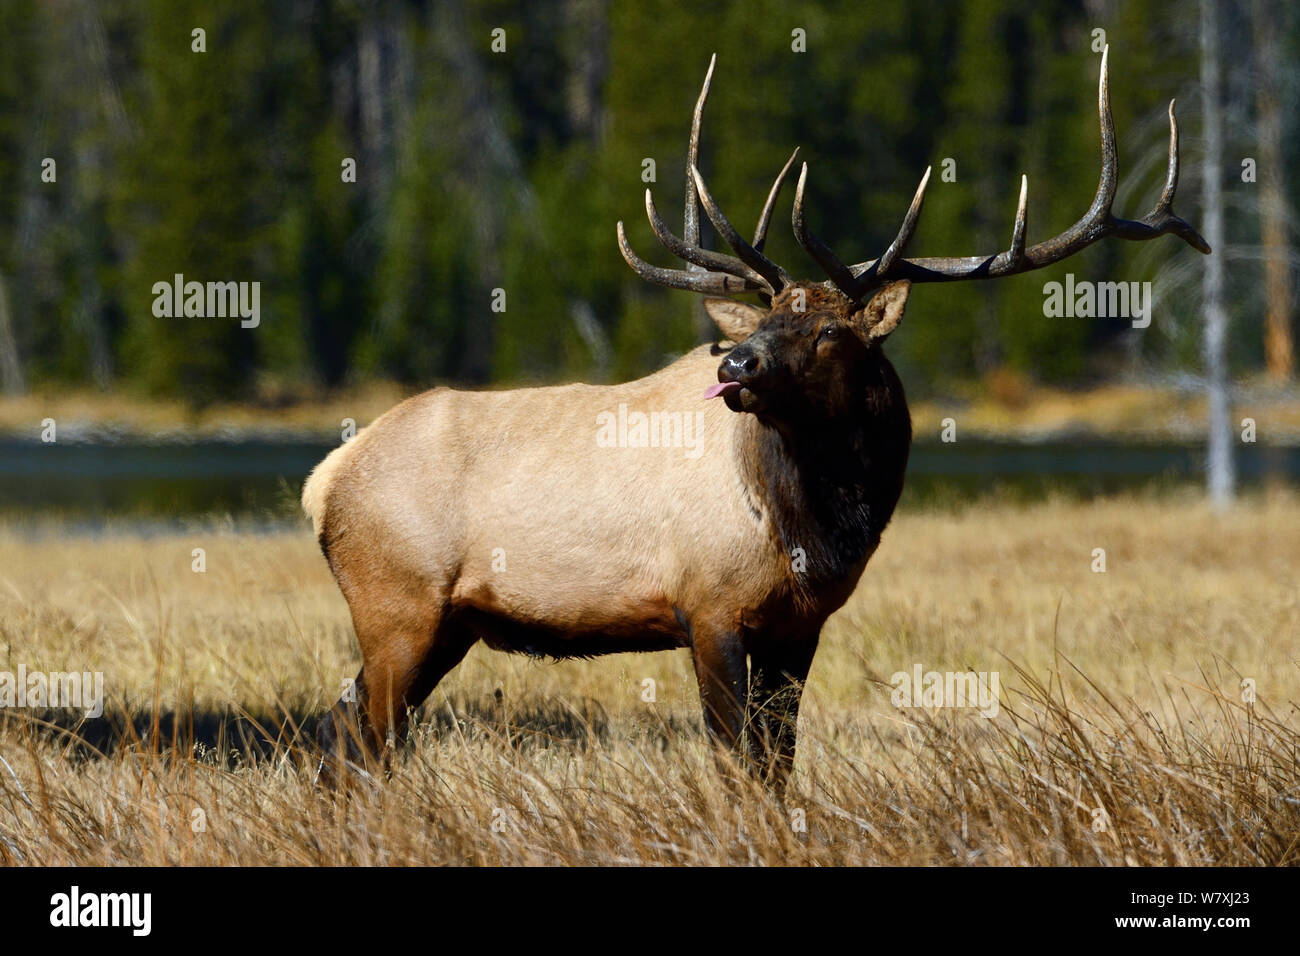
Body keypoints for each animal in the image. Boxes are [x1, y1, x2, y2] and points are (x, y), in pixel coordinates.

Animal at [304, 48, 1206, 790]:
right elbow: (736, 762)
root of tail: (323, 481)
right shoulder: (707, 607)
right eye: (768, 319)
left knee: (344, 728)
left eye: (832, 331)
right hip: (398, 602)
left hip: (442, 622)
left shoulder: (797, 627)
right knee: (367, 738)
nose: (734, 365)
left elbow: (779, 764)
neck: (815, 525)